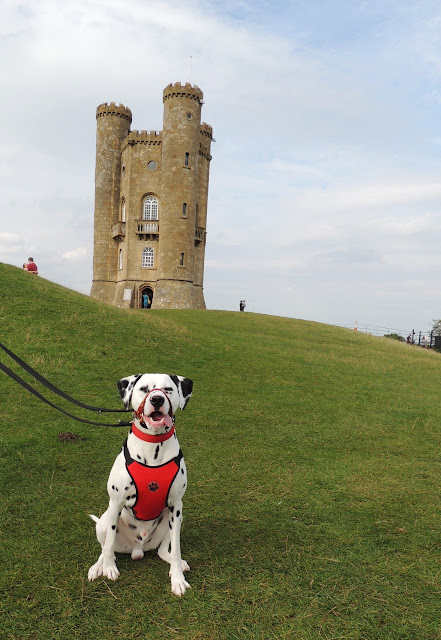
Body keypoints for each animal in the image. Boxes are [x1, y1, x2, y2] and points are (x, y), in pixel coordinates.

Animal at [87, 372, 192, 596]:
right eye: (144, 389)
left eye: (168, 389)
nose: (157, 399)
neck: (154, 447)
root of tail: (138, 549)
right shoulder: (116, 502)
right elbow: (108, 545)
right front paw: (109, 569)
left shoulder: (176, 506)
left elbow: (176, 549)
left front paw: (178, 578)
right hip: (104, 520)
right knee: (105, 548)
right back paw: (98, 567)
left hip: (175, 520)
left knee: (164, 550)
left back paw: (176, 563)